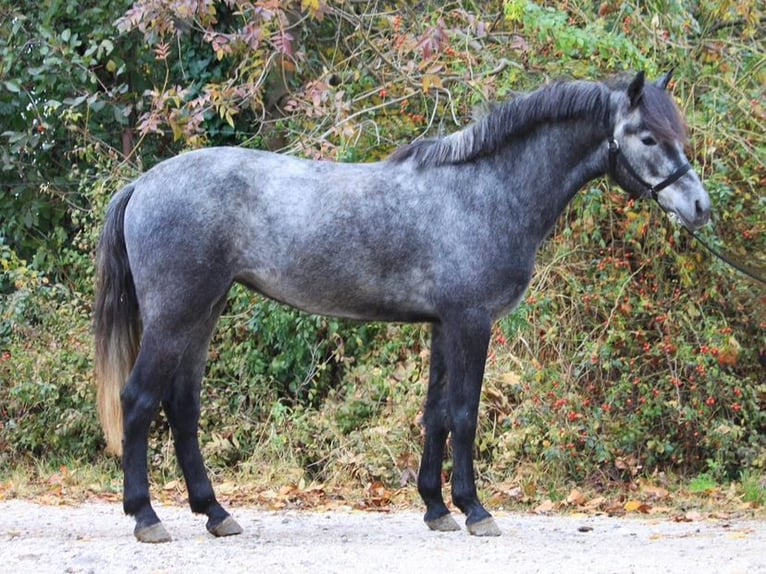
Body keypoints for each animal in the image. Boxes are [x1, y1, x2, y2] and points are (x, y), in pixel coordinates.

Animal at [94, 71, 711, 542]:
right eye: (647, 138)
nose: (701, 207)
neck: (486, 191)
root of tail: (143, 184)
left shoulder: (442, 326)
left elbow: (434, 414)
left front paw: (437, 508)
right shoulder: (470, 324)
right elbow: (463, 414)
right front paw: (476, 510)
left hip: (203, 314)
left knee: (183, 408)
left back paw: (216, 513)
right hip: (176, 317)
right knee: (139, 400)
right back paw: (146, 517)